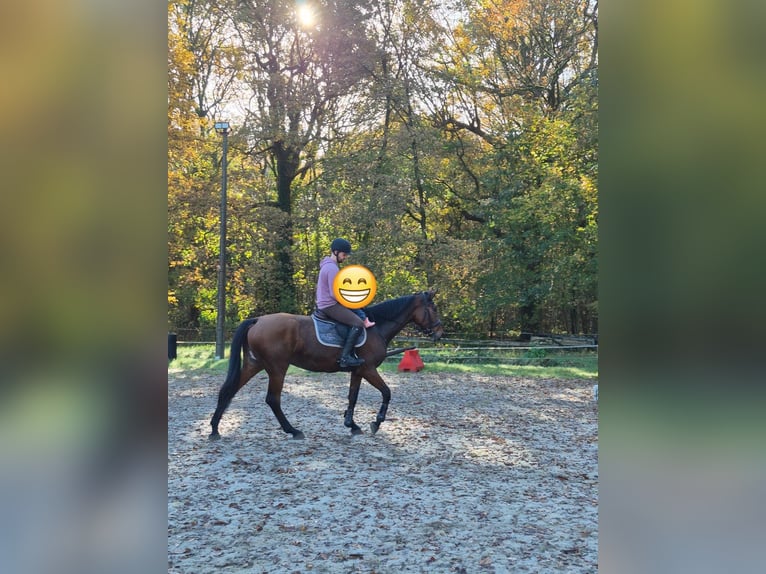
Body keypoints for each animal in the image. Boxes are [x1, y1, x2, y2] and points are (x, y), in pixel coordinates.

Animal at [209, 290, 444, 440]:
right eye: (433, 308)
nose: (440, 333)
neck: (376, 327)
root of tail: (258, 320)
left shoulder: (358, 370)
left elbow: (352, 396)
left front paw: (352, 425)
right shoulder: (369, 369)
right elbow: (387, 392)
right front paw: (376, 423)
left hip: (254, 364)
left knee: (228, 390)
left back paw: (214, 429)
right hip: (277, 368)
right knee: (272, 399)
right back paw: (293, 431)